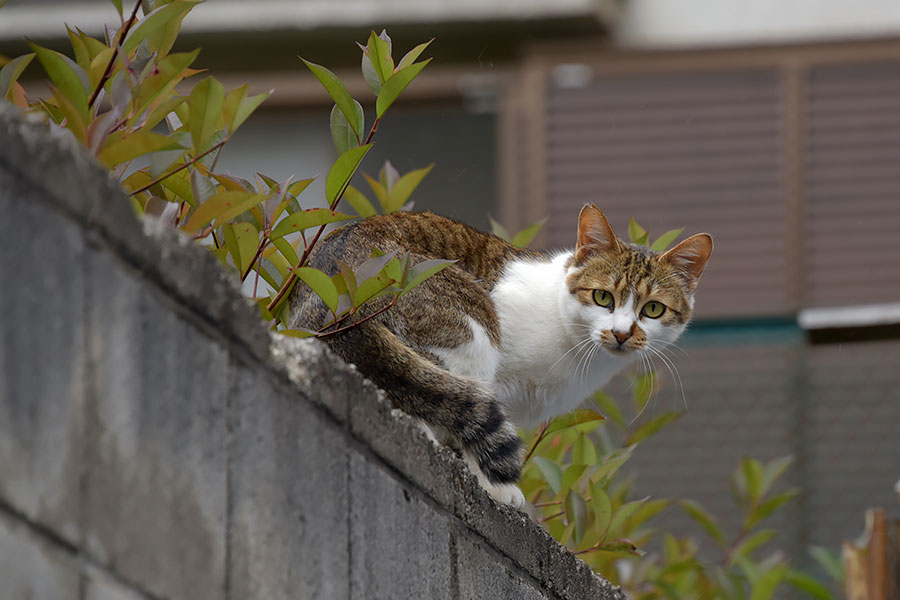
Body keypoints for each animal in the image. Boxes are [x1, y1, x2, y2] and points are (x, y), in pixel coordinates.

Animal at [288, 205, 712, 506]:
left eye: (652, 309)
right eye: (603, 297)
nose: (623, 333)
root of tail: (336, 287)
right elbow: (466, 411)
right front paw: (491, 483)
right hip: (470, 321)